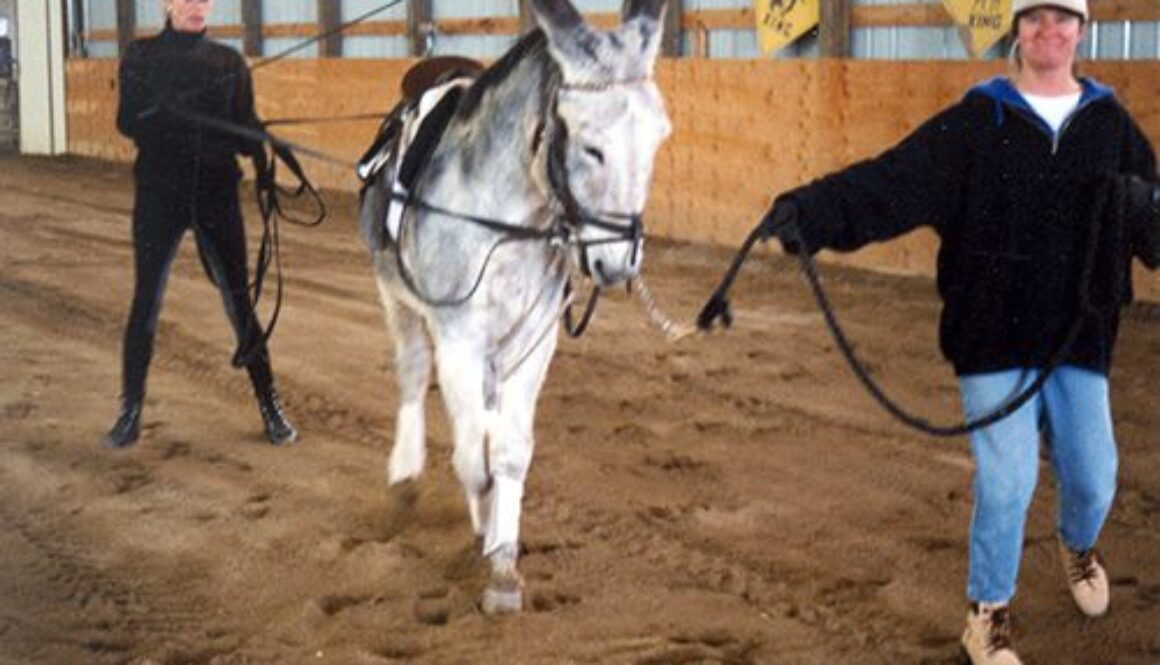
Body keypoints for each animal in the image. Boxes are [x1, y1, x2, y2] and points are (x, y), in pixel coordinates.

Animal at [358, 0, 671, 614]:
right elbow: (471, 455)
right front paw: (482, 521)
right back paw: (404, 477)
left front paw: (502, 562)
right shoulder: (458, 337)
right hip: (397, 299)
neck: (502, 221)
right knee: (413, 374)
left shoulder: (534, 340)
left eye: (657, 138)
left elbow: (506, 450)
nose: (618, 263)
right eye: (590, 145)